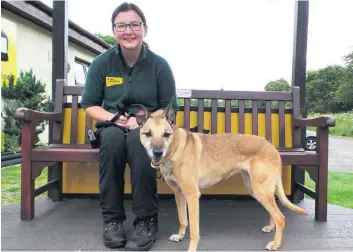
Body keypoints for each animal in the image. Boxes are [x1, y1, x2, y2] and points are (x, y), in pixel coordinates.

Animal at [133, 101, 306, 251]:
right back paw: (271, 227)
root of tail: (270, 145)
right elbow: (183, 220)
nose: (157, 153)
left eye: (166, 134)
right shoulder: (179, 194)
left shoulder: (192, 196)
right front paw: (180, 236)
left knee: (281, 217)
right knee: (274, 210)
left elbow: (194, 229)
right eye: (148, 134)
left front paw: (191, 248)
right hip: (256, 189)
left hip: (260, 189)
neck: (176, 150)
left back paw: (275, 244)